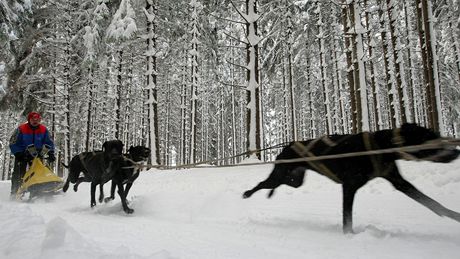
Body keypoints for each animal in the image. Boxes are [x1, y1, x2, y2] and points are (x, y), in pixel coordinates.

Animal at [243, 124, 458, 234]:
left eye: (437, 134)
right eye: (429, 137)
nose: (456, 151)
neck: (380, 146)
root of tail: (287, 146)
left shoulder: (398, 182)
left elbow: (432, 203)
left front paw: (455, 215)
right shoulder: (349, 186)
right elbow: (347, 216)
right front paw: (349, 235)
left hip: (295, 180)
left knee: (278, 185)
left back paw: (268, 194)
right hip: (280, 175)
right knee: (262, 184)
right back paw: (247, 193)